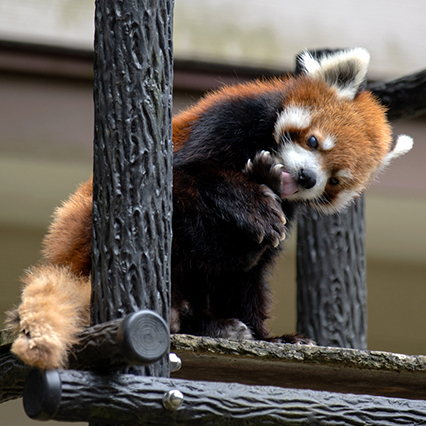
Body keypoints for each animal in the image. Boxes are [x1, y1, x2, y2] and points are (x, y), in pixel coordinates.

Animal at [5, 48, 412, 370]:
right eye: (313, 140)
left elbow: (251, 277)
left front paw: (272, 337)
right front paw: (252, 200)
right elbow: (191, 172)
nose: (307, 177)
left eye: (336, 181)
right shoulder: (227, 120)